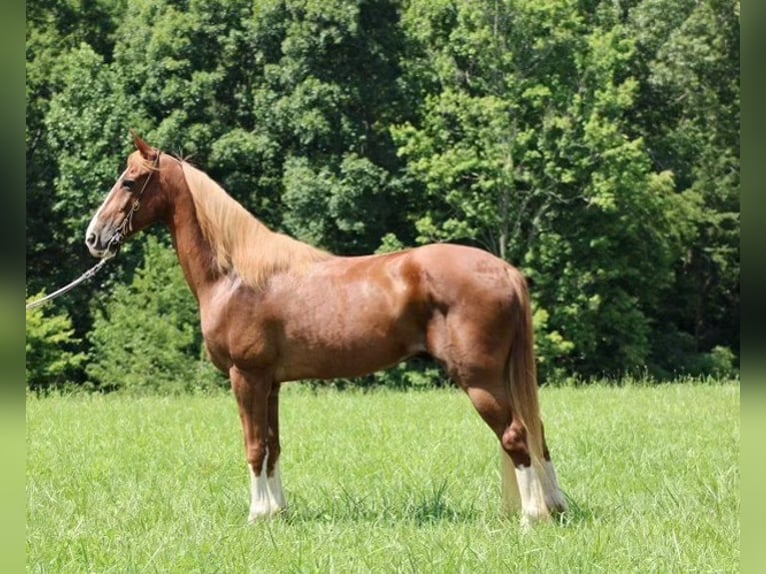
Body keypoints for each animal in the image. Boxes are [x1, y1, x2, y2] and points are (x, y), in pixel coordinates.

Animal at [87, 134, 568, 528]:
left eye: (129, 181)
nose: (94, 238)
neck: (236, 275)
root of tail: (505, 271)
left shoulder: (246, 377)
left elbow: (254, 446)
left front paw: (256, 516)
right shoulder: (270, 383)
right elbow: (273, 445)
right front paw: (277, 514)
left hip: (480, 380)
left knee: (516, 435)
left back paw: (531, 518)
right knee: (538, 432)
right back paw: (556, 507)